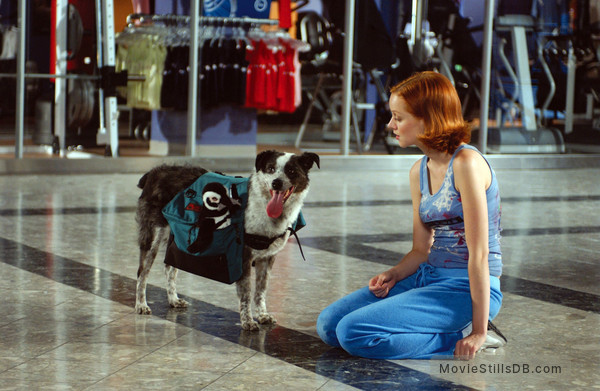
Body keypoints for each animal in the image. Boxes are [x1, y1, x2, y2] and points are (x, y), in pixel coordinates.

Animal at [134, 150, 322, 330]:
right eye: (270, 169)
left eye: (291, 171)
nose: (276, 183)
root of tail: (153, 173)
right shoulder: (243, 257)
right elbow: (246, 293)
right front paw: (247, 321)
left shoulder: (267, 258)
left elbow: (261, 290)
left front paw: (262, 315)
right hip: (152, 237)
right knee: (142, 272)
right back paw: (141, 304)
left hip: (178, 238)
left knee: (170, 269)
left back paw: (173, 299)